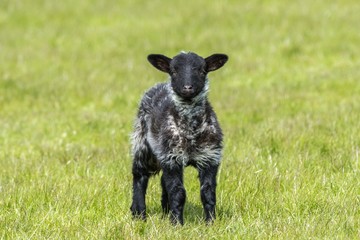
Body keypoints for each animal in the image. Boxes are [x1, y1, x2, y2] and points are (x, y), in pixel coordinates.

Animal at [131, 51, 229, 225]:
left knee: (163, 182)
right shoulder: (172, 159)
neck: (190, 131)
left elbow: (208, 193)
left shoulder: (210, 157)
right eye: (173, 71)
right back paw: (139, 214)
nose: (187, 88)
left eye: (202, 71)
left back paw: (165, 212)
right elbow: (178, 193)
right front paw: (177, 224)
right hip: (142, 143)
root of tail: (159, 85)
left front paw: (210, 222)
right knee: (139, 176)